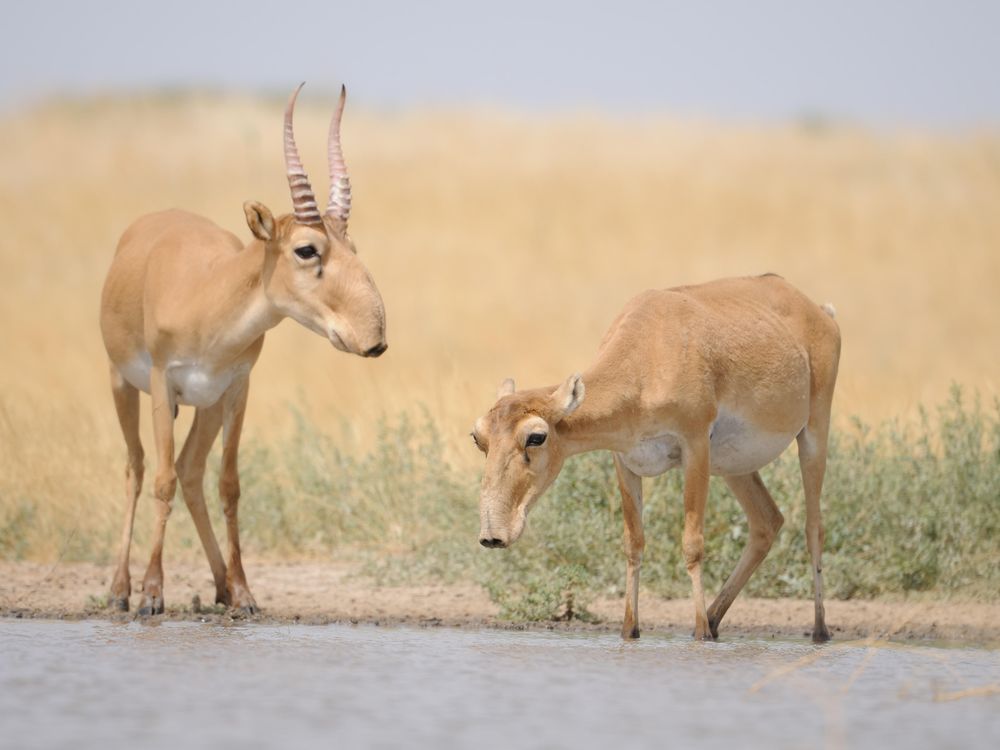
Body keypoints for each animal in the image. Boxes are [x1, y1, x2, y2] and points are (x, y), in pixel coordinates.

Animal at [98, 85, 386, 620]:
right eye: (306, 249)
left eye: (351, 246)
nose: (373, 337)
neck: (208, 294)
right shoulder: (161, 382)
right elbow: (161, 482)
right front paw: (152, 594)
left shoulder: (236, 388)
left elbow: (228, 484)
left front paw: (246, 593)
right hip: (122, 383)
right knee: (137, 468)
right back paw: (120, 589)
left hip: (206, 406)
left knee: (191, 471)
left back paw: (219, 586)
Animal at [472, 278, 840, 648]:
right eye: (478, 437)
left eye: (536, 436)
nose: (493, 535)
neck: (648, 354)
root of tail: (820, 312)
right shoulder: (625, 461)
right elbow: (633, 543)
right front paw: (630, 631)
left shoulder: (695, 446)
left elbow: (692, 544)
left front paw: (700, 634)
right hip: (735, 467)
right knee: (767, 521)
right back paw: (714, 619)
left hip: (813, 435)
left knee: (814, 528)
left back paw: (818, 630)